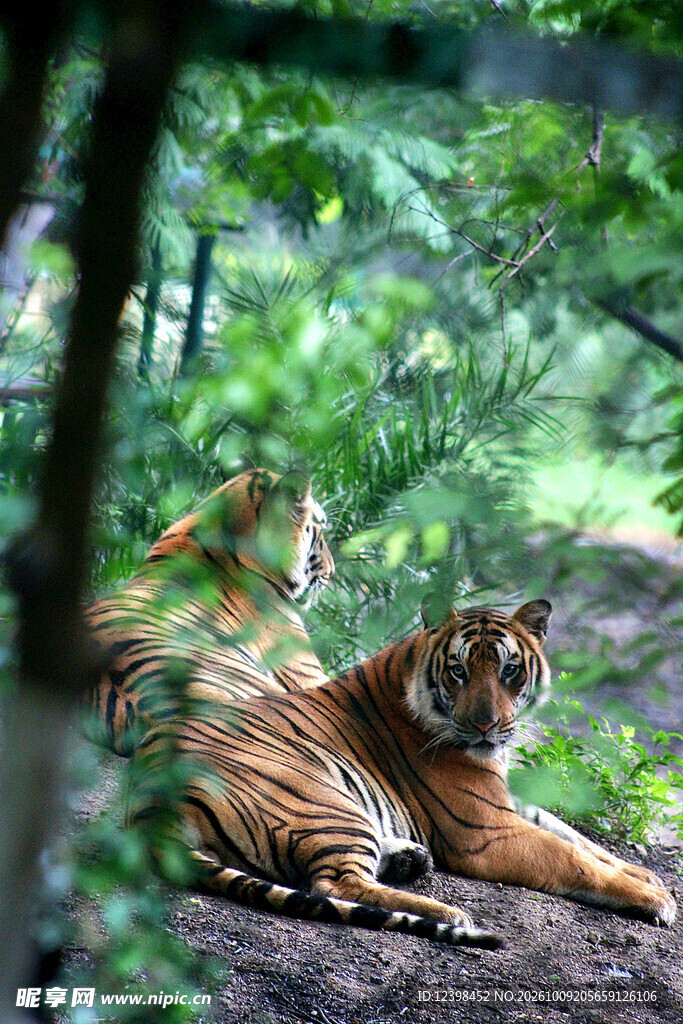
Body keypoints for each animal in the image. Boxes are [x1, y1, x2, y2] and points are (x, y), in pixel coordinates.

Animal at [128, 599, 676, 949]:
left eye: (509, 671)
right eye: (458, 671)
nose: (486, 725)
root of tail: (146, 802)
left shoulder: (507, 801)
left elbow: (577, 836)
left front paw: (644, 873)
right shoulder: (485, 829)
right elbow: (569, 857)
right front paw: (654, 897)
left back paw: (410, 859)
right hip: (323, 800)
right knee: (333, 884)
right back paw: (447, 912)